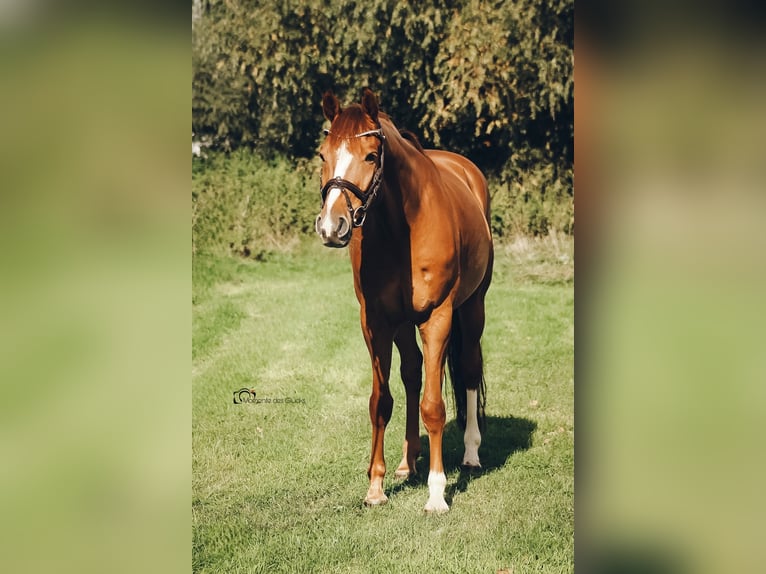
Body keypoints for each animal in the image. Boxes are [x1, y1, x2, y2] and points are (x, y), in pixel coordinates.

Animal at [316, 89, 496, 512]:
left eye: (370, 156)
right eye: (322, 154)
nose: (332, 227)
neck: (403, 226)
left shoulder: (437, 318)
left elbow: (434, 406)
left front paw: (437, 493)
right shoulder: (377, 322)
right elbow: (381, 401)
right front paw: (376, 487)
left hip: (472, 309)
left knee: (467, 370)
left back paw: (471, 453)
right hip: (402, 325)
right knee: (412, 375)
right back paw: (406, 462)